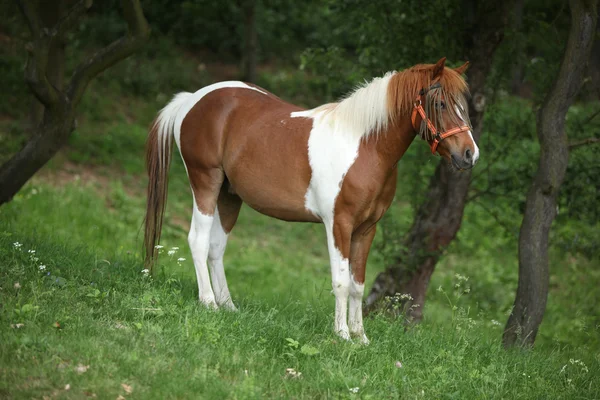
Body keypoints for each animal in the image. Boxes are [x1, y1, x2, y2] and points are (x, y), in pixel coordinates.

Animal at [144, 57, 478, 344]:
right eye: (440, 103)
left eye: (464, 105)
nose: (470, 154)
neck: (366, 148)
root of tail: (192, 100)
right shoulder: (339, 224)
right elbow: (341, 281)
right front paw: (342, 335)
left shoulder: (366, 229)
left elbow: (358, 285)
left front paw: (361, 337)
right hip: (205, 182)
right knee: (198, 241)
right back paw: (209, 302)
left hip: (229, 196)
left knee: (215, 248)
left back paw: (228, 305)